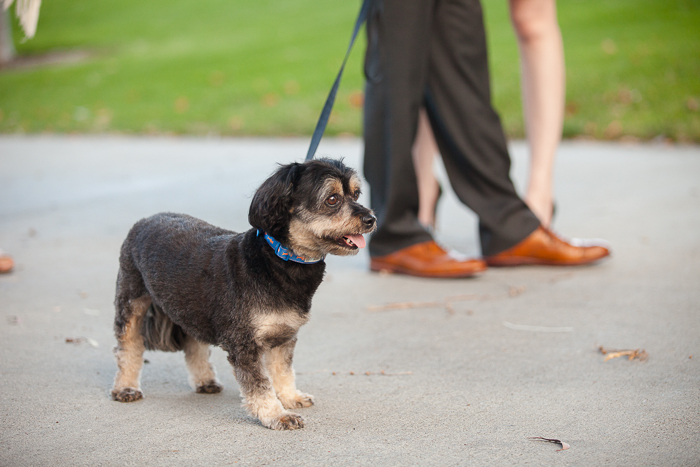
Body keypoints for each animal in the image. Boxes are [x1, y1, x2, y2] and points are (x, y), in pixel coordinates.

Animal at [111, 159, 378, 430]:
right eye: (332, 199)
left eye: (356, 194)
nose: (371, 219)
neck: (279, 258)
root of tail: (146, 219)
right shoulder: (244, 342)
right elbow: (260, 385)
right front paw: (277, 414)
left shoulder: (284, 334)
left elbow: (282, 371)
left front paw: (289, 397)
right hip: (132, 302)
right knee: (128, 347)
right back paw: (125, 387)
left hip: (191, 304)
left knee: (193, 343)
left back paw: (204, 380)